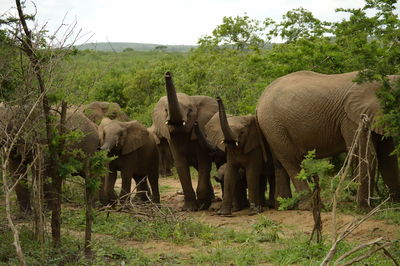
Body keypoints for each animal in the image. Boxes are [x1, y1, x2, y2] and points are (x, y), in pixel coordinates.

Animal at [152, 71, 217, 211]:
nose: (168, 73)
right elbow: (181, 165)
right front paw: (190, 209)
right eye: (166, 110)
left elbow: (204, 163)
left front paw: (202, 206)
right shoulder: (172, 138)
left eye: (190, 110)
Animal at [256, 70, 400, 208]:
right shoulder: (352, 118)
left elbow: (388, 157)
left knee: (279, 164)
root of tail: (259, 102)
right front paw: (364, 209)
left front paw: (394, 205)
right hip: (274, 126)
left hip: (273, 128)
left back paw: (284, 206)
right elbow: (365, 155)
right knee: (292, 161)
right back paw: (310, 206)